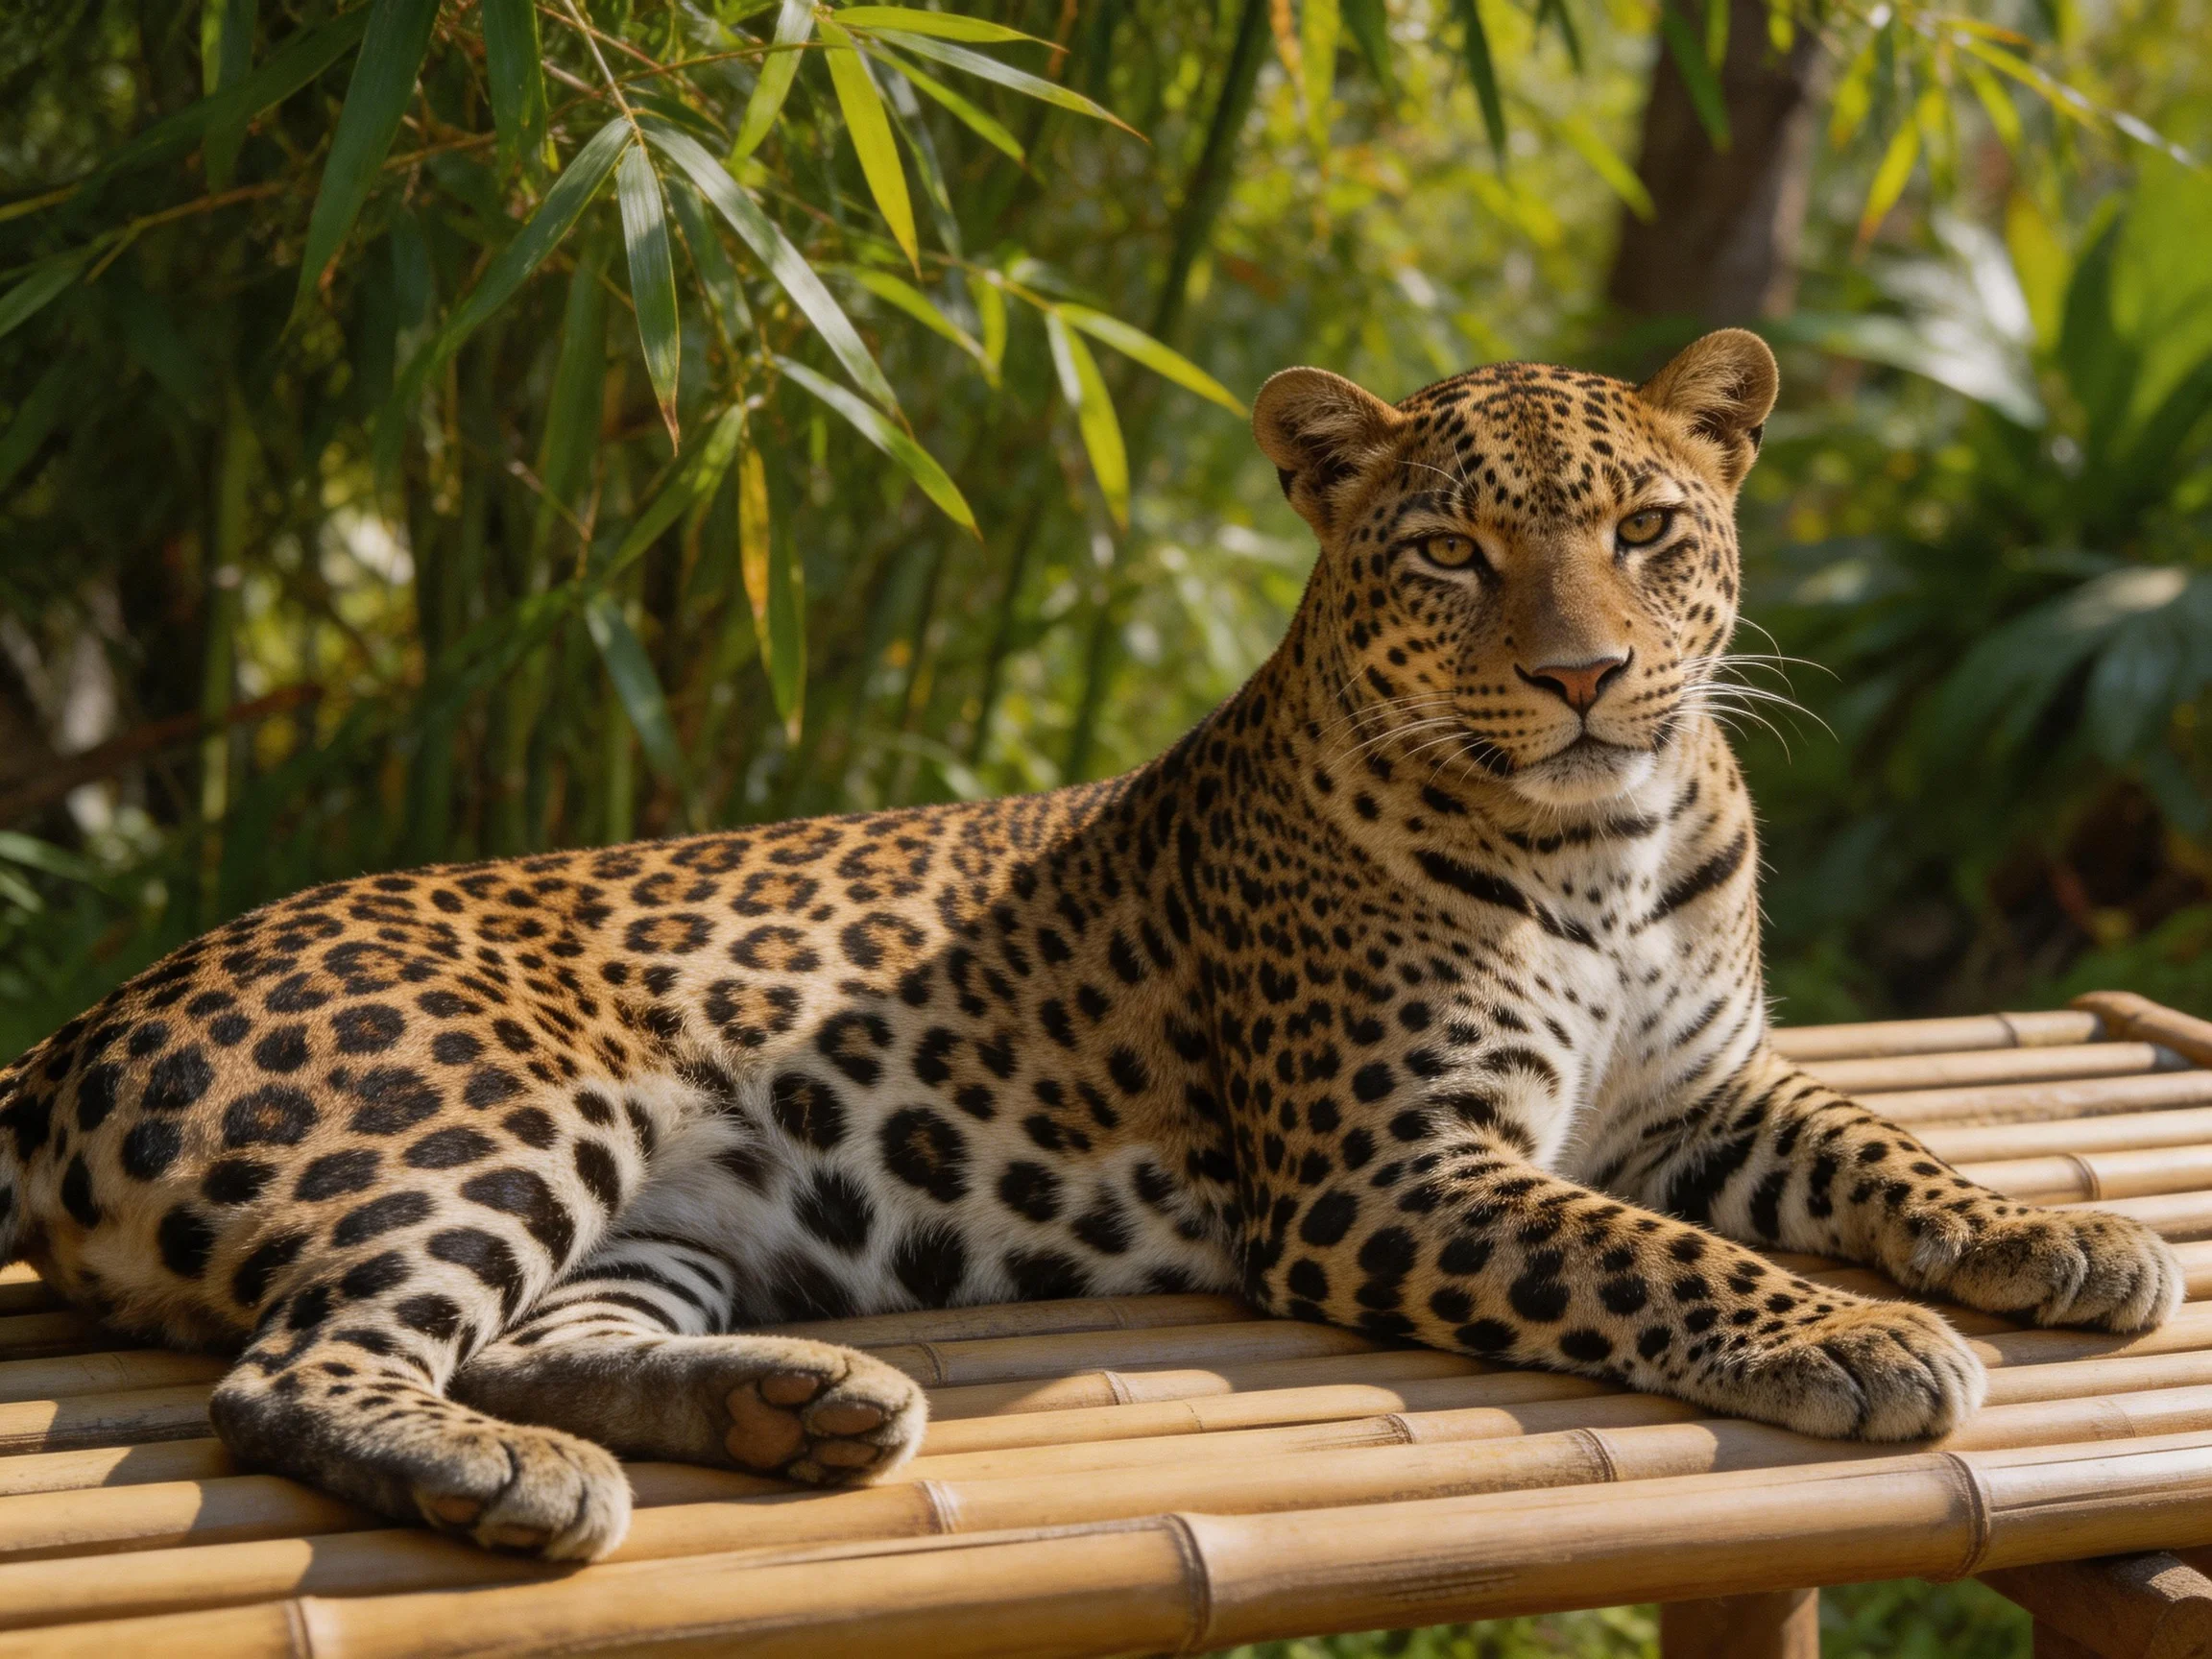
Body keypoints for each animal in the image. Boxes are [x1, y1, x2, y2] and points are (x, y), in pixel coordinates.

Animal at [0, 329, 2181, 1562]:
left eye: (1646, 528)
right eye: (1450, 553)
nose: (1581, 677)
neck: (1608, 842)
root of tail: (90, 1014)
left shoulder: (1705, 1091)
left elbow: (1880, 1143)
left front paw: (2058, 1235)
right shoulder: (1391, 1170)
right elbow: (1652, 1253)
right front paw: (1860, 1336)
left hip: (669, 1210)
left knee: (539, 1334)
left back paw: (799, 1406)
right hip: (488, 1118)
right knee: (299, 1373)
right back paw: (508, 1489)